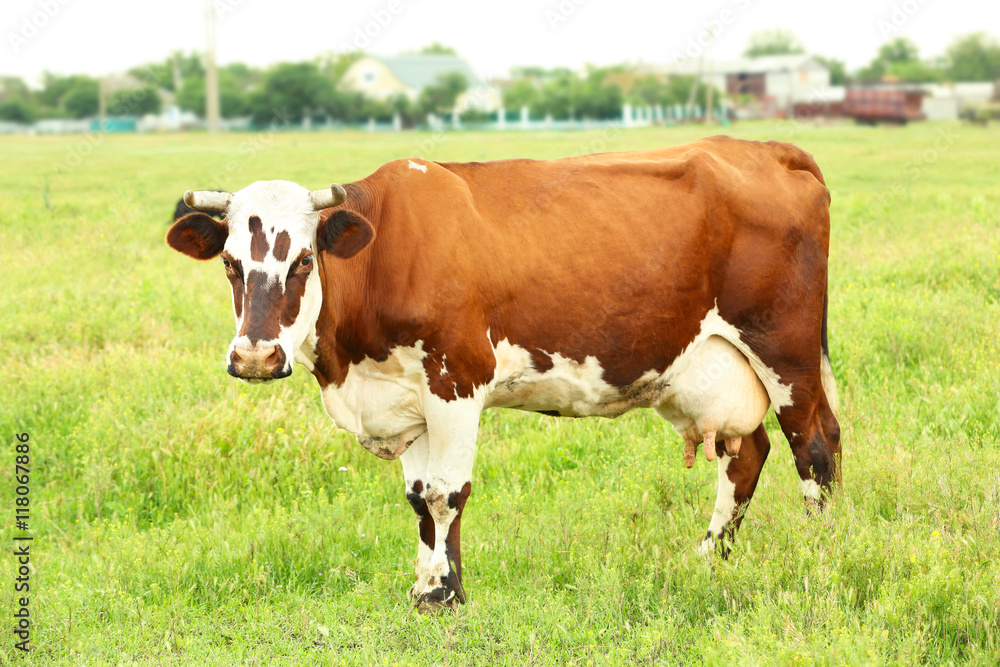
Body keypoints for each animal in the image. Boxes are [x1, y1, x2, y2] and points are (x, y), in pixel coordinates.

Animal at [168, 136, 840, 612]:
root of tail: (767, 149)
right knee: (746, 452)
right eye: (230, 263)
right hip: (713, 368)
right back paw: (707, 557)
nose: (255, 357)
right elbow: (418, 499)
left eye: (305, 259)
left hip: (786, 350)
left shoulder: (456, 380)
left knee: (814, 444)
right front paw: (426, 587)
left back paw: (817, 556)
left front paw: (445, 597)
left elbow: (445, 494)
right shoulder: (407, 400)